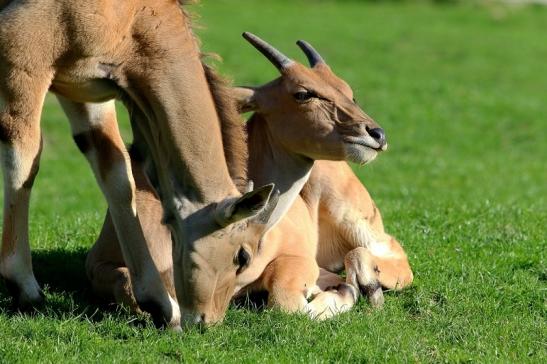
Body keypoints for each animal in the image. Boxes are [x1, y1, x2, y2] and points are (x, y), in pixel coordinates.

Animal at [0, 0, 280, 330]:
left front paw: (161, 304)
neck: (134, 14)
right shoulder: (21, 54)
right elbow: (25, 160)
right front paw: (25, 287)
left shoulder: (85, 93)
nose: (206, 322)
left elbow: (118, 177)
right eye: (242, 257)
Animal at [86, 32, 412, 322]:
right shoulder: (99, 261)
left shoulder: (295, 259)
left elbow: (284, 302)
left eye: (348, 92)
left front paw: (344, 293)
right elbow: (125, 282)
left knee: (389, 255)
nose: (376, 134)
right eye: (303, 93)